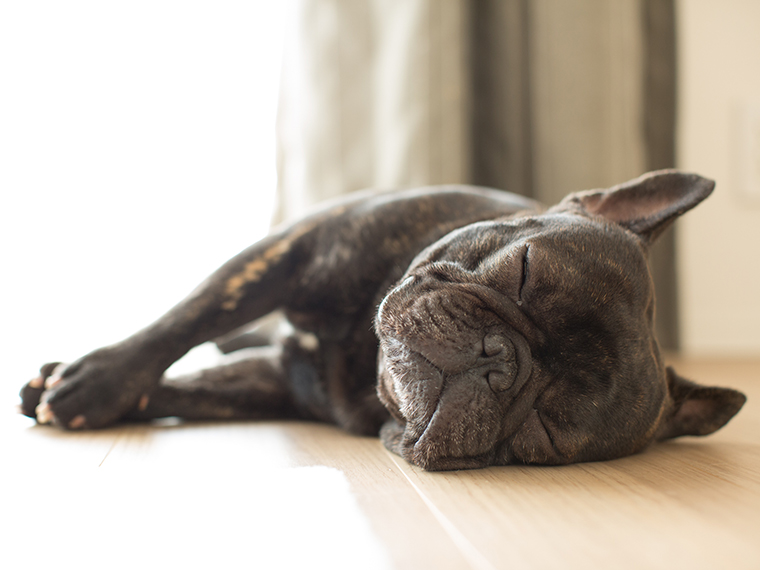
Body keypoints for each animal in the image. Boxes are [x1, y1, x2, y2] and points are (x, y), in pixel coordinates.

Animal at [19, 170, 748, 470]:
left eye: (545, 430)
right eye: (525, 270)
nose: (499, 360)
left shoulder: (278, 384)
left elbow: (201, 388)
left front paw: (96, 395)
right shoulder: (296, 246)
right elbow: (191, 316)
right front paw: (98, 381)